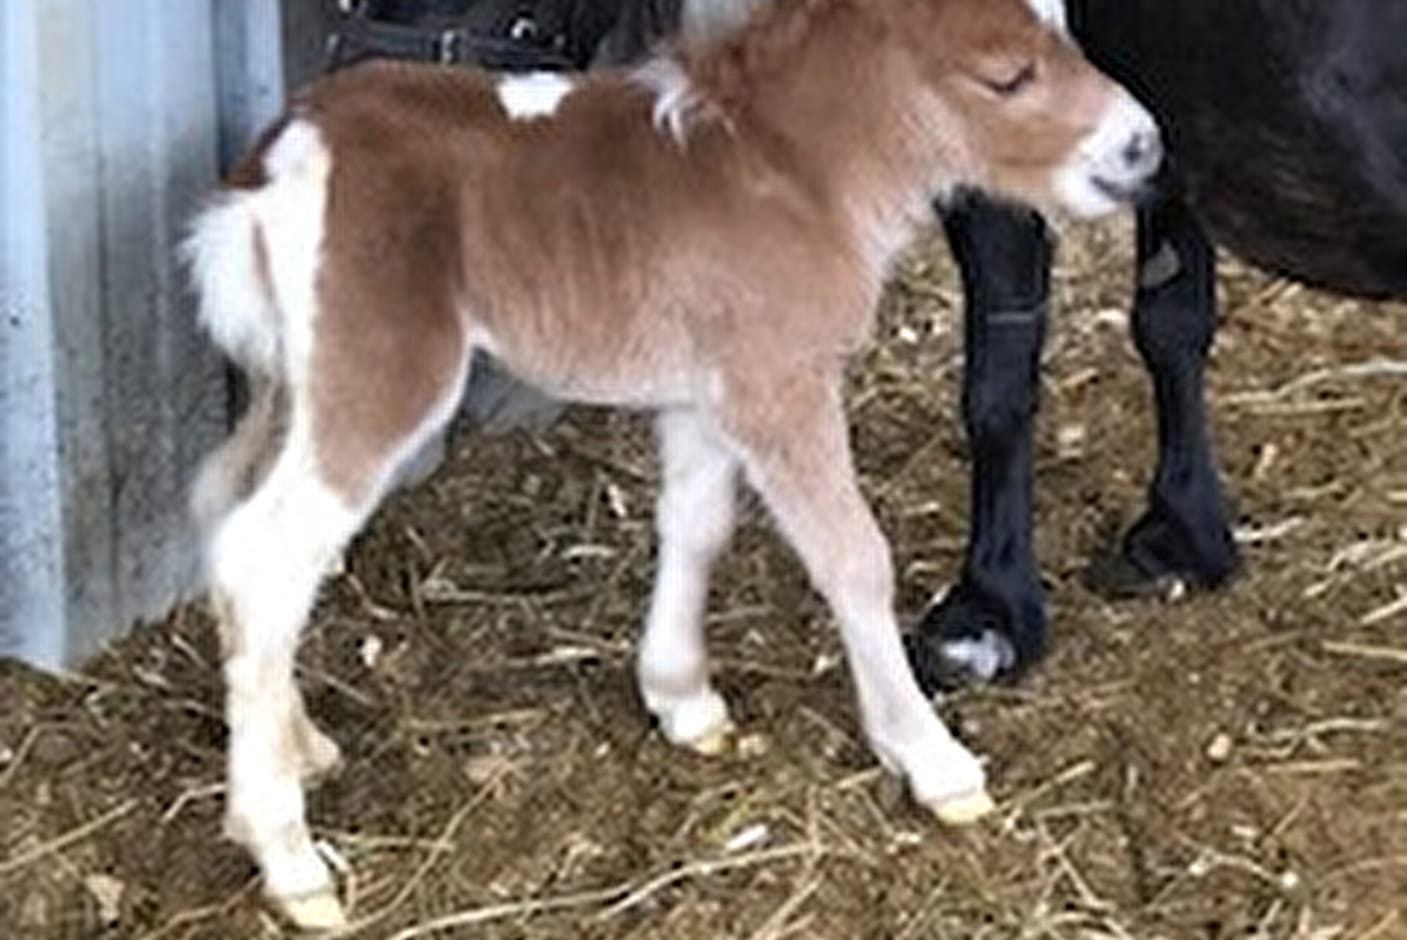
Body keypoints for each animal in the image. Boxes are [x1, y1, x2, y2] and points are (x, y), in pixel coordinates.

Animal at [184, 0, 1153, 923]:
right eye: (1007, 76)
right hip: (379, 378)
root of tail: (275, 162)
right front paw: (930, 758)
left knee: (232, 529)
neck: (797, 170)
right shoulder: (778, 385)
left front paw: (683, 699)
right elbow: (852, 558)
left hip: (289, 386)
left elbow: (696, 526)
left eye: (1065, 32)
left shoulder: (706, 393)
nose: (1142, 144)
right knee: (267, 558)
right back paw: (289, 859)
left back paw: (300, 747)